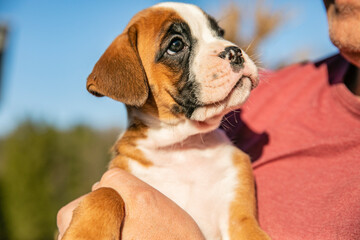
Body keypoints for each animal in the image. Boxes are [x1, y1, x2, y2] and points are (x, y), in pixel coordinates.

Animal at [62, 2, 270, 240]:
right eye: (176, 44)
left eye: (219, 33)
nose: (234, 51)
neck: (183, 145)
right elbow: (107, 192)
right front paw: (87, 232)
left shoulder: (239, 219)